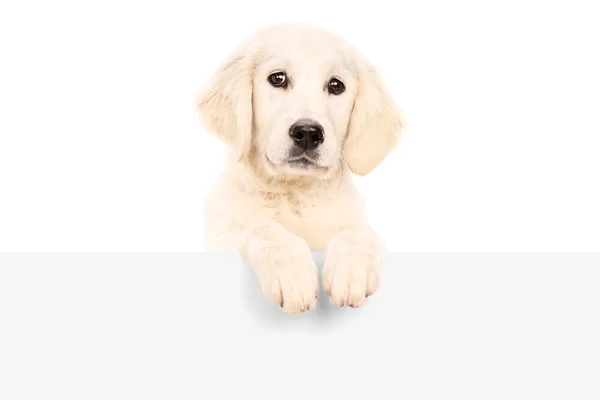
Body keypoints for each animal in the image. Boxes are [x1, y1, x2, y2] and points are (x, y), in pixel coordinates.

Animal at [198, 23, 404, 314]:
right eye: (277, 78)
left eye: (336, 85)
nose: (307, 133)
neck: (293, 192)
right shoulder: (220, 238)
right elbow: (260, 228)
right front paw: (291, 273)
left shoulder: (353, 219)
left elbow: (361, 232)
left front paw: (350, 270)